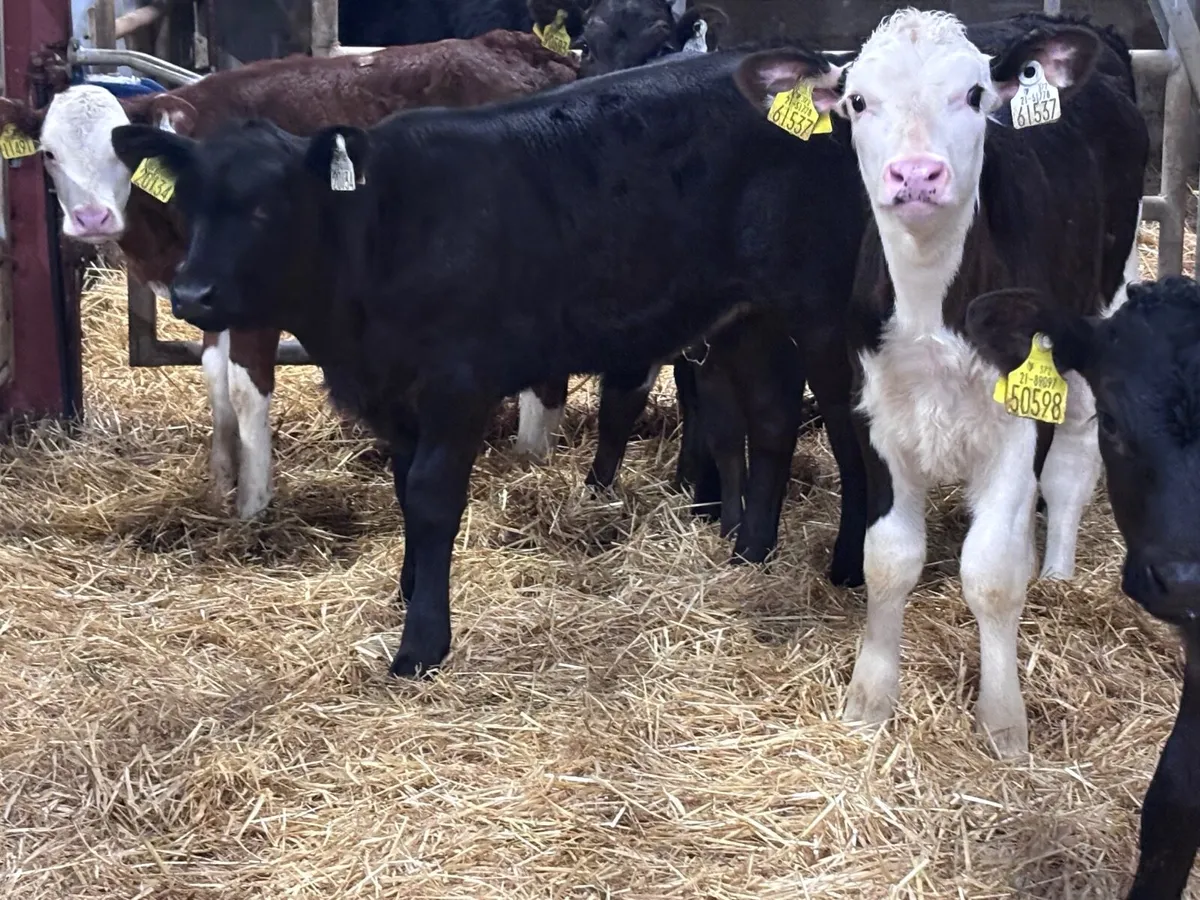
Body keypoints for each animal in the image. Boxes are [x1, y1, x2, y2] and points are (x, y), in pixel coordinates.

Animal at [0, 32, 578, 519]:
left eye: (119, 154)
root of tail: (521, 46)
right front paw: (219, 486)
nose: (91, 219)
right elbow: (215, 379)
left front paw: (253, 506)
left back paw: (530, 458)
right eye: (49, 154)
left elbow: (245, 388)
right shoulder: (206, 293)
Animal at [108, 46, 873, 677]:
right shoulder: (394, 392)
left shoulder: (456, 385)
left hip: (824, 308)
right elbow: (404, 492)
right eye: (189, 206)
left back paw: (847, 564)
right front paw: (409, 589)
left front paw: (422, 643)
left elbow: (432, 496)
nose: (191, 294)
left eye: (267, 208)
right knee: (773, 421)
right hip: (750, 315)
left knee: (850, 430)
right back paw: (751, 553)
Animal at [735, 10, 1148, 757]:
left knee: (1072, 461)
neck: (933, 304)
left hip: (1105, 301)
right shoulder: (876, 412)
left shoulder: (1016, 422)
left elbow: (991, 572)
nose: (917, 173)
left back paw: (1057, 572)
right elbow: (888, 557)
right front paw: (868, 703)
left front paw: (1004, 726)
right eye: (857, 101)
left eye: (976, 95)